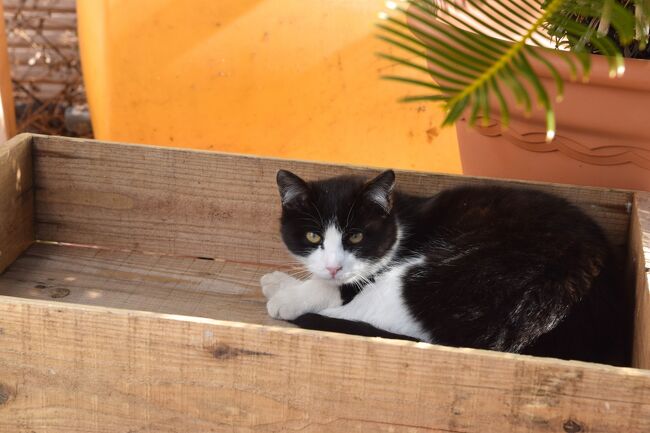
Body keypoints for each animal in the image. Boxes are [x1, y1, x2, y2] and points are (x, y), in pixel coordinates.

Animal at [260, 169, 628, 364]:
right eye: (313, 235)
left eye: (355, 236)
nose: (334, 266)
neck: (400, 222)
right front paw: (280, 280)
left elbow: (338, 286)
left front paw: (288, 296)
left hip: (442, 275)